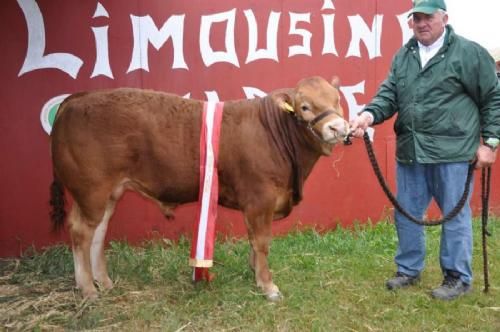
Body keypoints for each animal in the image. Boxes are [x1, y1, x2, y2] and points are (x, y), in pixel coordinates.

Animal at [49, 77, 348, 300]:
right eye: (305, 106)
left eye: (337, 100)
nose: (339, 128)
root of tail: (77, 98)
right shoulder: (260, 199)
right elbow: (262, 242)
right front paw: (268, 285)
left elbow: (254, 241)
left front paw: (254, 273)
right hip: (91, 190)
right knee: (81, 231)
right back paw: (88, 289)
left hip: (109, 192)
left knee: (98, 232)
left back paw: (105, 282)